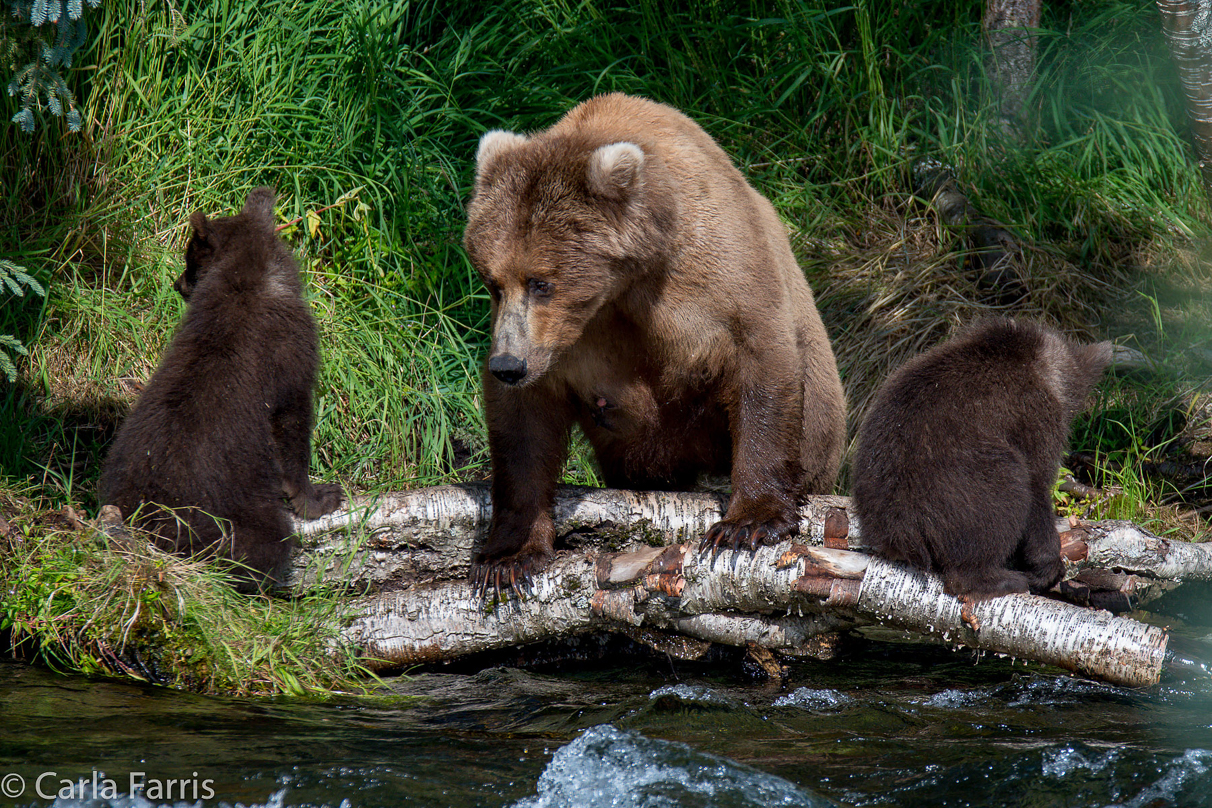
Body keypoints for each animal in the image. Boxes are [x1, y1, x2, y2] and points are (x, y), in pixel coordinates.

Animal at [99, 191, 341, 593]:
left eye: (188, 257)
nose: (179, 284)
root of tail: (150, 524)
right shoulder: (288, 354)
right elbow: (291, 423)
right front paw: (320, 496)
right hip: (230, 514)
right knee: (263, 545)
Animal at [458, 95, 848, 591]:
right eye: (492, 282)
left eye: (541, 282)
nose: (508, 365)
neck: (625, 283)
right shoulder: (557, 343)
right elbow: (523, 428)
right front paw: (508, 558)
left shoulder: (715, 276)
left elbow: (759, 359)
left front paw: (747, 523)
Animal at [848, 317, 1110, 600]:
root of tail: (899, 528)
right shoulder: (1033, 419)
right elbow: (1037, 486)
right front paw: (1047, 566)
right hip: (963, 481)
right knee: (1004, 494)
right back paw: (1003, 579)